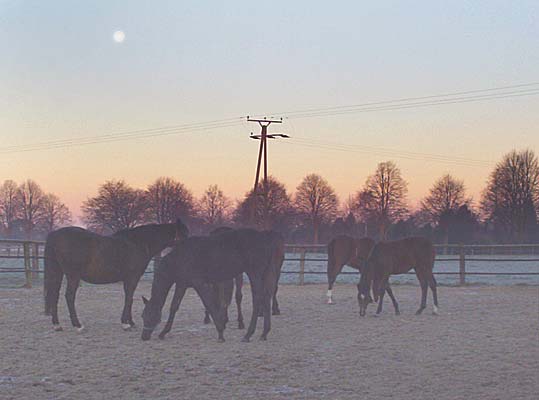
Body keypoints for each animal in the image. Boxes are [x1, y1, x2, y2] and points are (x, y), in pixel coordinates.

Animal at [43, 219, 190, 332]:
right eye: (184, 234)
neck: (138, 243)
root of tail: (54, 235)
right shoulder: (132, 277)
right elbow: (129, 298)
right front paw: (126, 324)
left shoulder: (129, 279)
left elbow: (129, 298)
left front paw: (130, 322)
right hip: (73, 276)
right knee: (69, 297)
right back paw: (78, 325)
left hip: (57, 273)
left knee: (54, 295)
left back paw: (57, 325)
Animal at [142, 230, 286, 342]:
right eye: (142, 316)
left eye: (148, 314)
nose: (144, 336)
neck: (180, 257)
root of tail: (266, 238)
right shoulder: (182, 284)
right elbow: (174, 307)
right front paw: (163, 332)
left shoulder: (199, 283)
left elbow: (209, 304)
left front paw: (221, 333)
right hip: (264, 274)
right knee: (266, 297)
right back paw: (264, 333)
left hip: (255, 273)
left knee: (258, 298)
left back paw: (248, 334)